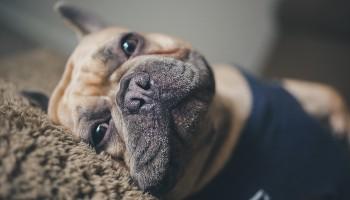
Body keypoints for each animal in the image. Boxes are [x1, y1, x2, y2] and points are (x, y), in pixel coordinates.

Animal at [25, 1, 350, 200]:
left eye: (129, 44)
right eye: (99, 132)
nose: (135, 93)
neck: (220, 137)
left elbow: (332, 94)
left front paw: (342, 127)